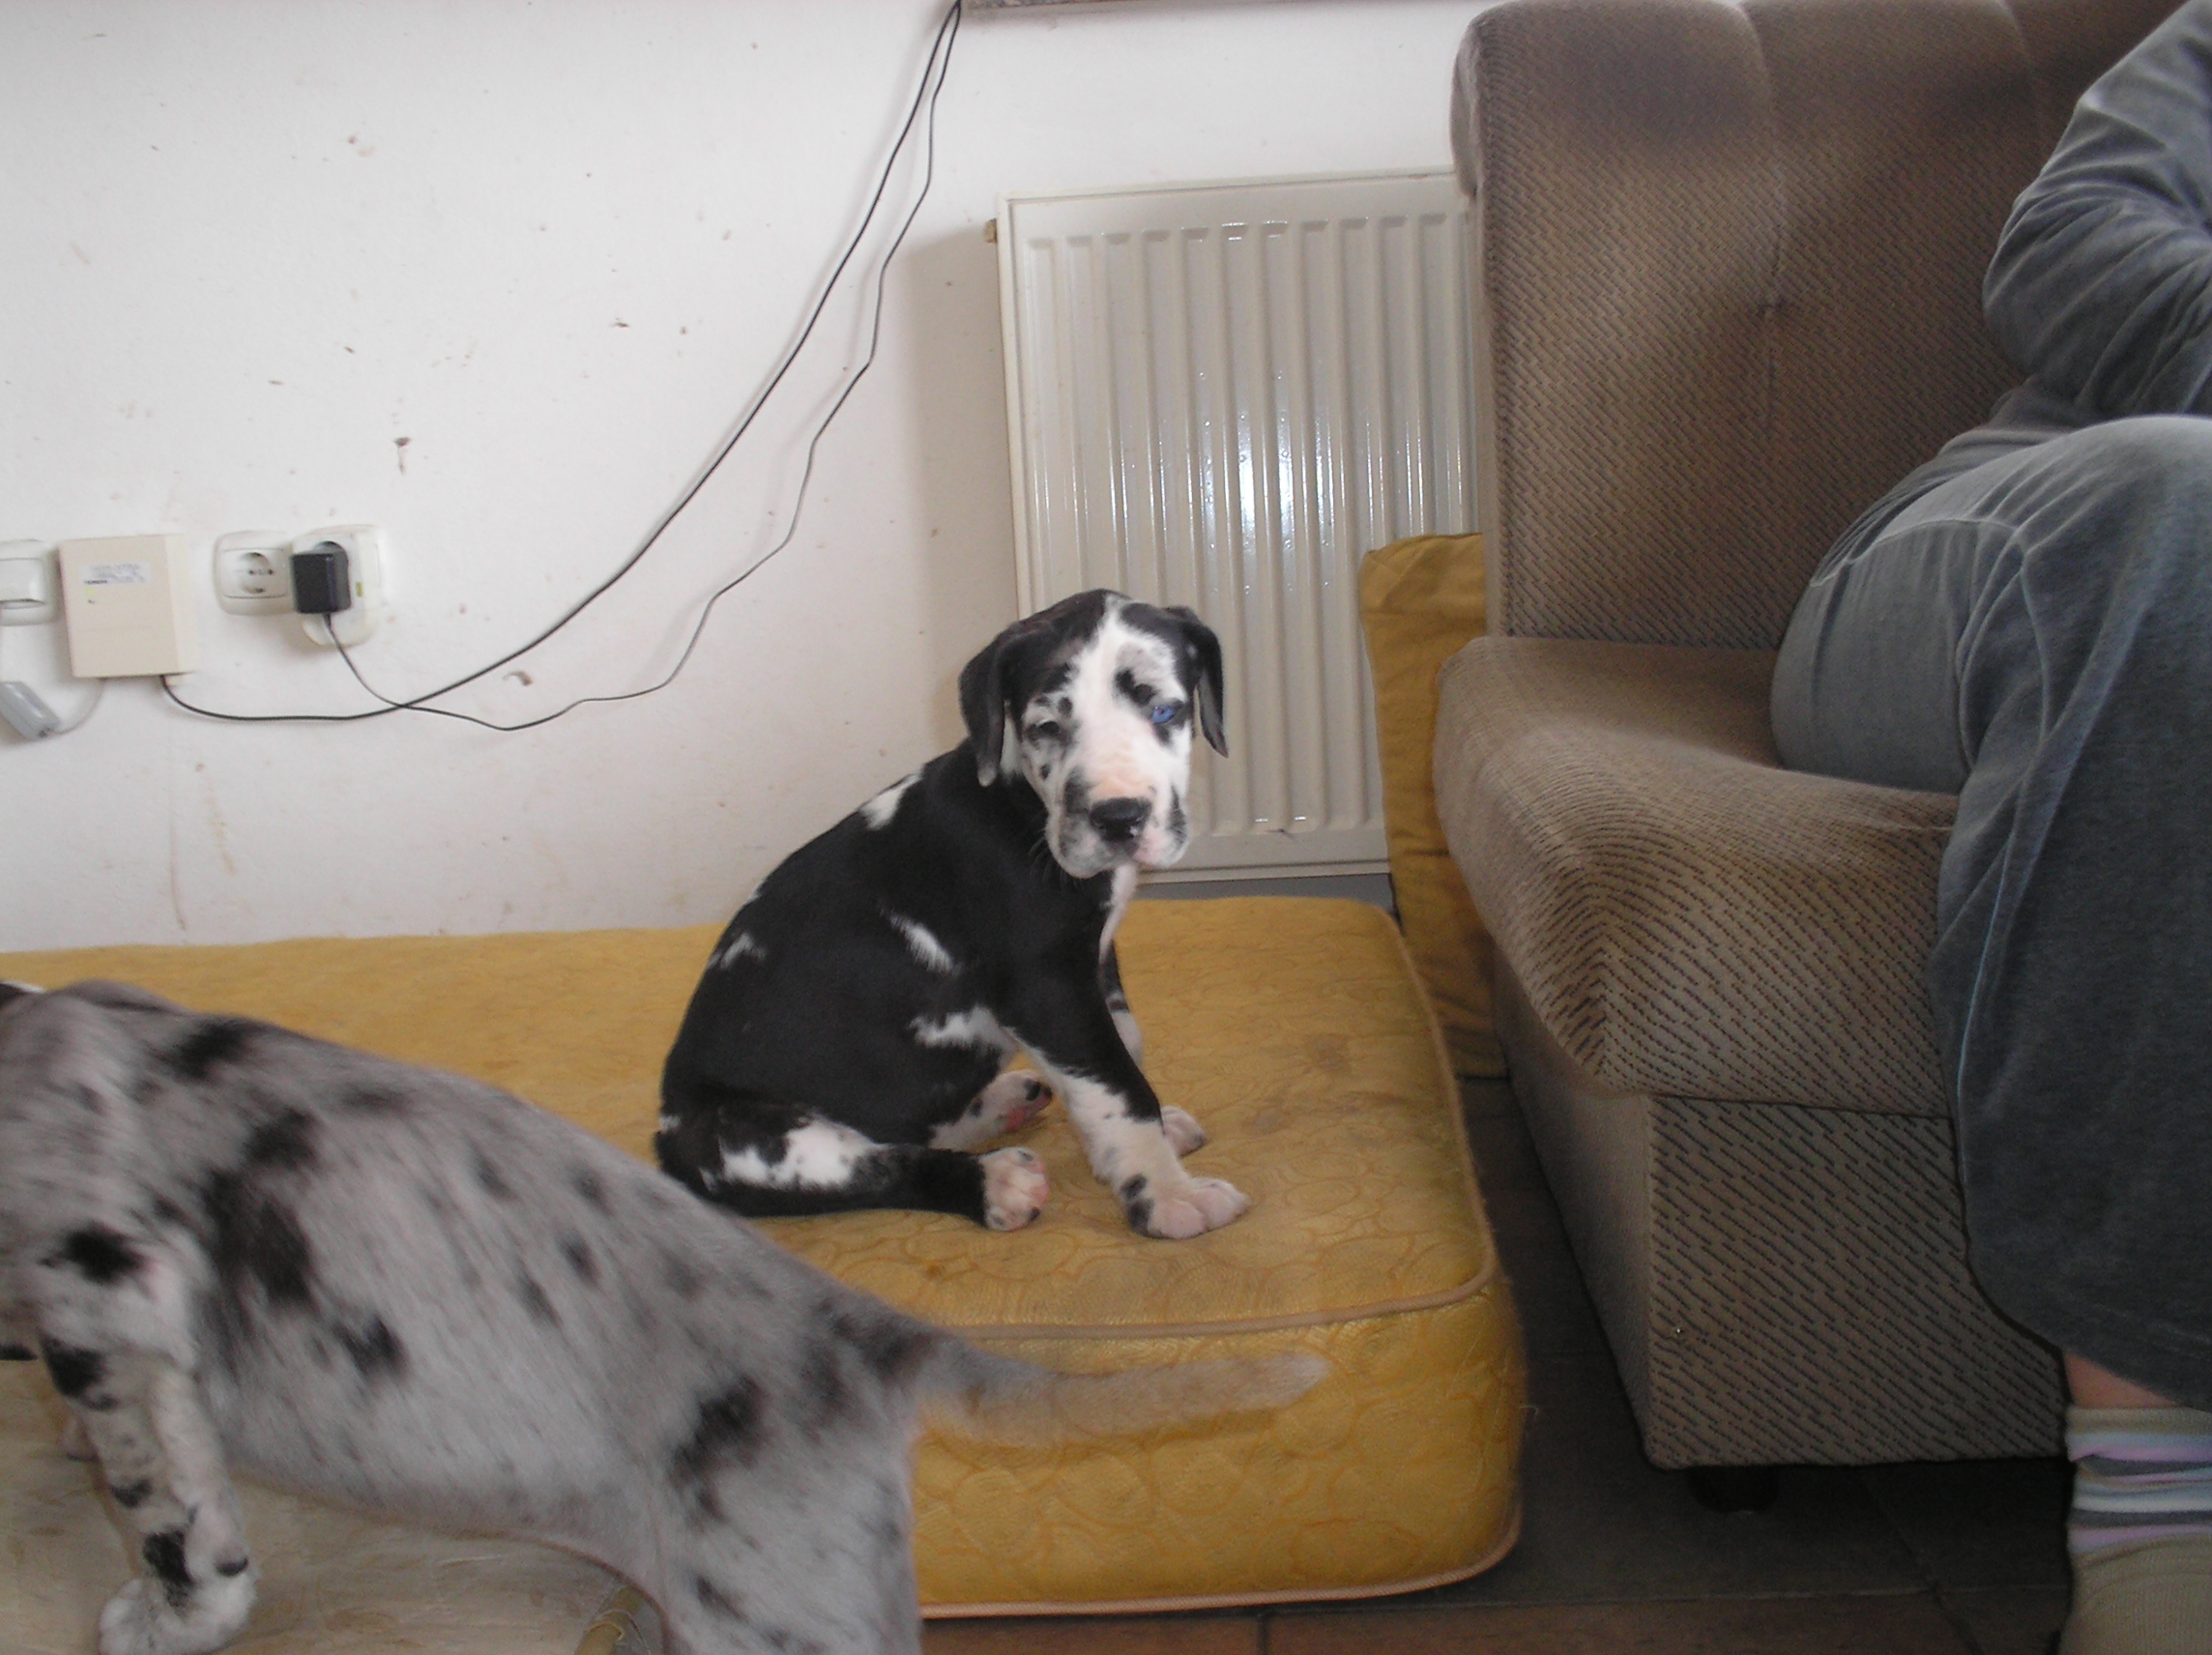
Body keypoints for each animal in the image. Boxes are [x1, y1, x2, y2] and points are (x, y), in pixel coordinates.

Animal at [658, 590, 1247, 1241]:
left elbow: (1125, 1045)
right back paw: (994, 1180)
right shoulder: (1046, 988)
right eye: (1047, 727)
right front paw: (1167, 1194)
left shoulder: (1093, 963)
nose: (1118, 817)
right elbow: (1118, 1086)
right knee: (880, 1167)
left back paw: (1006, 1103)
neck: (1018, 802)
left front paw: (1145, 1144)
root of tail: (667, 1138)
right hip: (762, 1141)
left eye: (1165, 710)